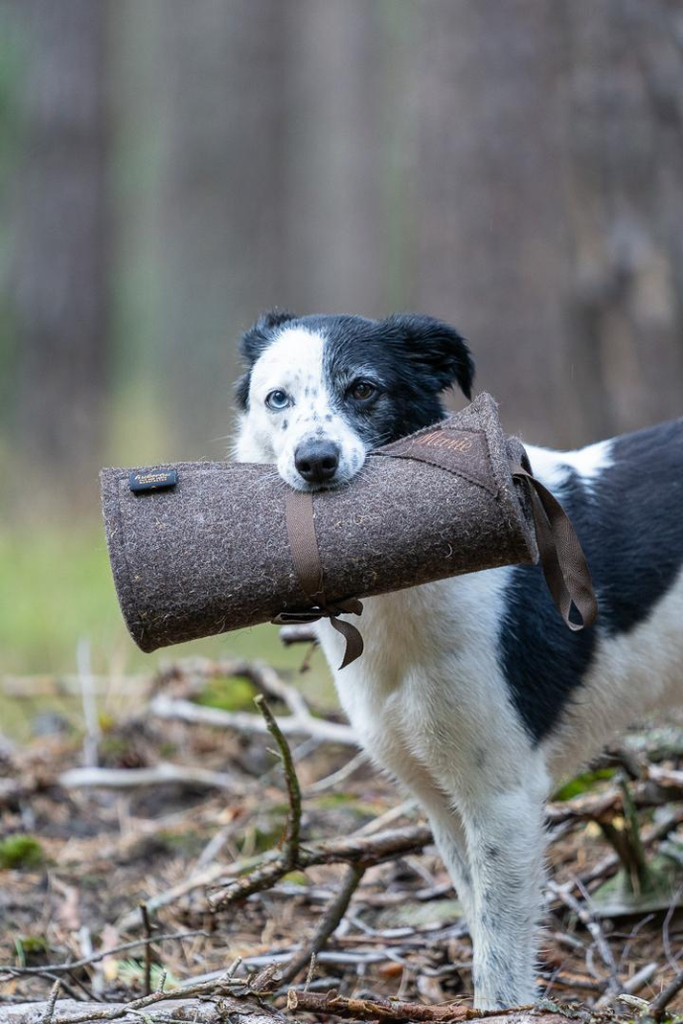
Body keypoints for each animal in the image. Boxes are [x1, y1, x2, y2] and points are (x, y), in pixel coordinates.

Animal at [233, 309, 683, 1007]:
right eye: (276, 398)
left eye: (364, 389)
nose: (315, 461)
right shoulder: (441, 802)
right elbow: (477, 914)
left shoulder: (502, 797)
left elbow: (500, 955)